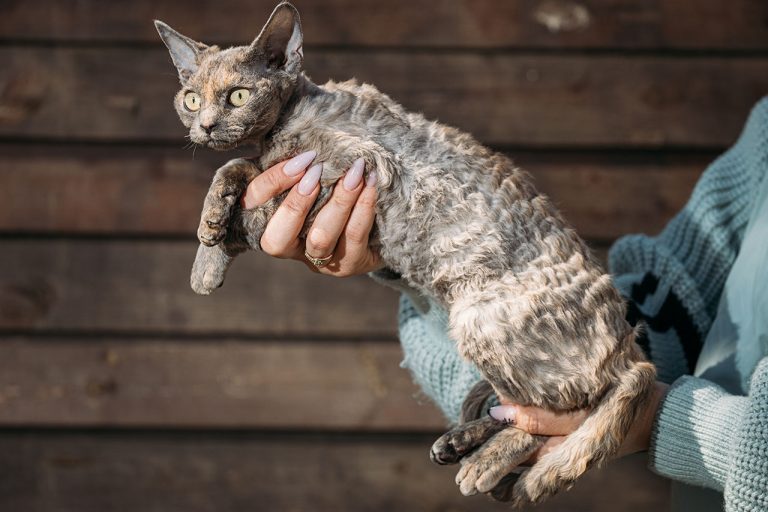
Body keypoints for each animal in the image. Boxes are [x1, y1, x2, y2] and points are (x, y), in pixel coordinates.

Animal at [154, 3, 656, 508]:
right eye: (191, 100)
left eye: (238, 96)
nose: (206, 126)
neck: (292, 116)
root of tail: (629, 348)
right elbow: (240, 169)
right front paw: (207, 253)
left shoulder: (361, 167)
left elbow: (252, 191)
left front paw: (219, 235)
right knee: (522, 406)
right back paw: (459, 441)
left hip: (479, 317)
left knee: (559, 413)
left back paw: (484, 464)